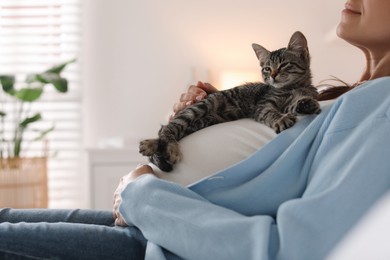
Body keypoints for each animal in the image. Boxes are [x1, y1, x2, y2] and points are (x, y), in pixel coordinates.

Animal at [140, 31, 320, 172]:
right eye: (267, 69)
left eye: (284, 65)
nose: (273, 76)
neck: (293, 87)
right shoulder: (263, 104)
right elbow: (270, 112)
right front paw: (280, 119)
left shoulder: (295, 98)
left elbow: (295, 103)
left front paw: (306, 104)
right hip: (200, 107)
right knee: (168, 128)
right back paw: (166, 148)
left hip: (203, 121)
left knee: (172, 130)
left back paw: (155, 145)